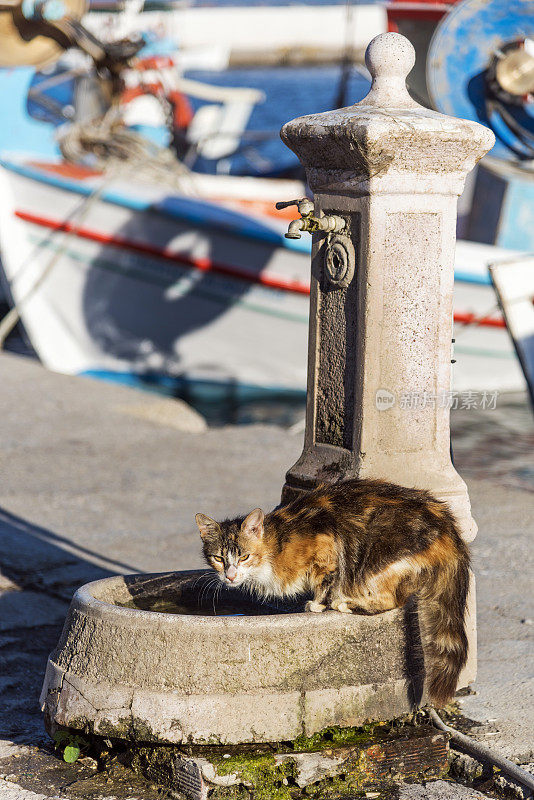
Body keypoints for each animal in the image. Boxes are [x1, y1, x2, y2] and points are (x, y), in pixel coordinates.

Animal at [196, 478, 468, 704]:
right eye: (218, 558)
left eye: (244, 556)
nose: (230, 575)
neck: (275, 545)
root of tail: (448, 527)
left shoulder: (325, 543)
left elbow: (325, 579)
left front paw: (317, 604)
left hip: (379, 558)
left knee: (393, 599)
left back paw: (347, 602)